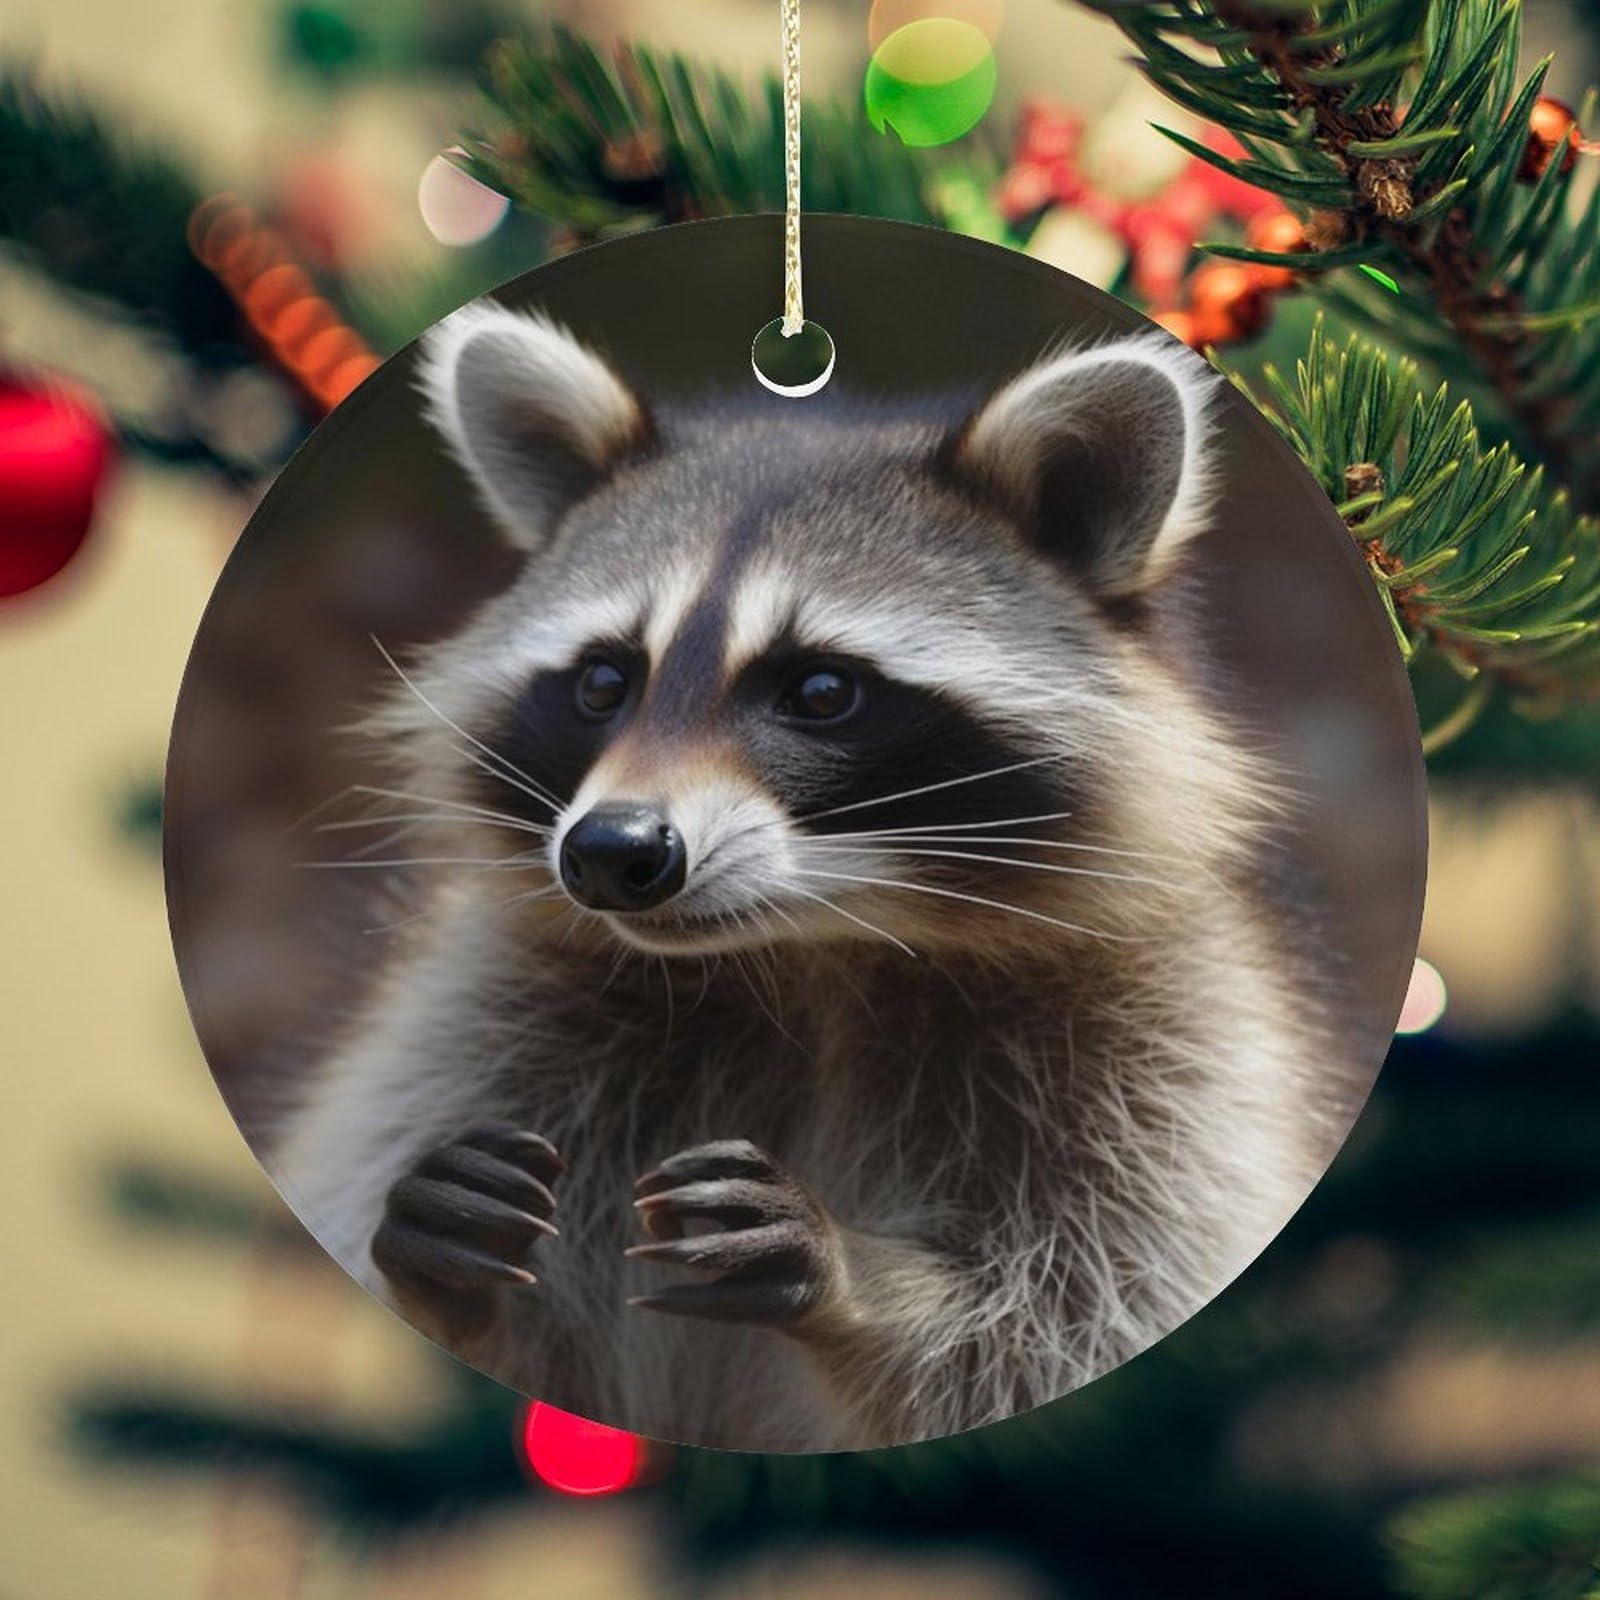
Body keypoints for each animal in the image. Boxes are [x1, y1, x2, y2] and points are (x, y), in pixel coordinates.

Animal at [270, 303, 1343, 1450]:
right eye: (604, 681)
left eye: (821, 691)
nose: (608, 852)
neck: (806, 948)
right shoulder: (500, 1005)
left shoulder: (1164, 1047)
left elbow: (1084, 1311)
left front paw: (860, 1281)